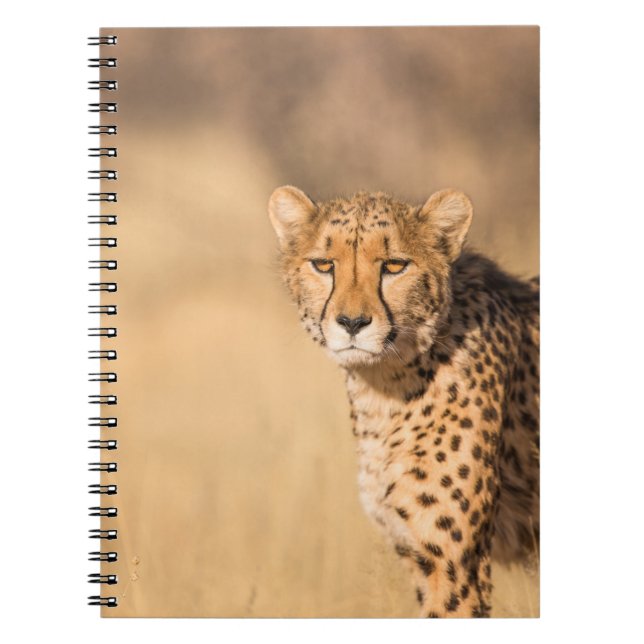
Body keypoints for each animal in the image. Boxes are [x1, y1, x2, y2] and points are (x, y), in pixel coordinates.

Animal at [267, 186, 539, 618]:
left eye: (394, 265)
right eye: (323, 264)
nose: (352, 323)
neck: (384, 389)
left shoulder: (454, 561)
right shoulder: (419, 553)